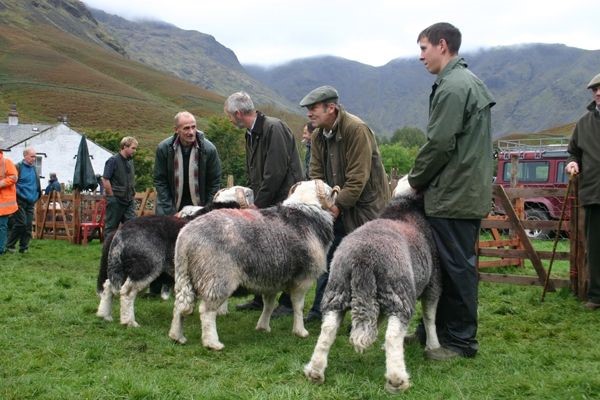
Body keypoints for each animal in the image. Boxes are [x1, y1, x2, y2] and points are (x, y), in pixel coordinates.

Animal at [95, 186, 253, 326]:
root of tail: (121, 231)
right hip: (144, 267)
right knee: (127, 293)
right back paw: (130, 322)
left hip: (119, 267)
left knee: (108, 286)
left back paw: (105, 315)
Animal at [166, 180, 340, 348]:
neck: (306, 210)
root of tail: (187, 236)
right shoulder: (303, 279)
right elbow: (298, 306)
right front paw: (300, 331)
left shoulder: (272, 280)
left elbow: (268, 305)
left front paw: (263, 327)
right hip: (216, 278)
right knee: (206, 311)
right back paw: (212, 343)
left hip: (184, 276)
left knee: (180, 306)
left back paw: (177, 336)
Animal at [304, 177, 440, 392]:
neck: (405, 204)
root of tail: (363, 259)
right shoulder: (433, 283)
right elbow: (429, 317)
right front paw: (433, 346)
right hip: (399, 294)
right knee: (393, 335)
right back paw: (397, 379)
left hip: (337, 290)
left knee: (328, 329)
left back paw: (315, 371)